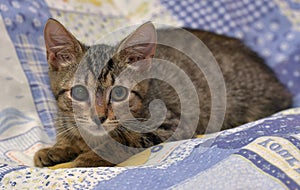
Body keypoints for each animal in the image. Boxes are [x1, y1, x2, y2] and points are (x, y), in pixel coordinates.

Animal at [34, 18, 292, 167]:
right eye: (78, 92)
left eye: (118, 94)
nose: (99, 117)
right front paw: (57, 149)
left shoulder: (172, 123)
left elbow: (120, 140)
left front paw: (87, 157)